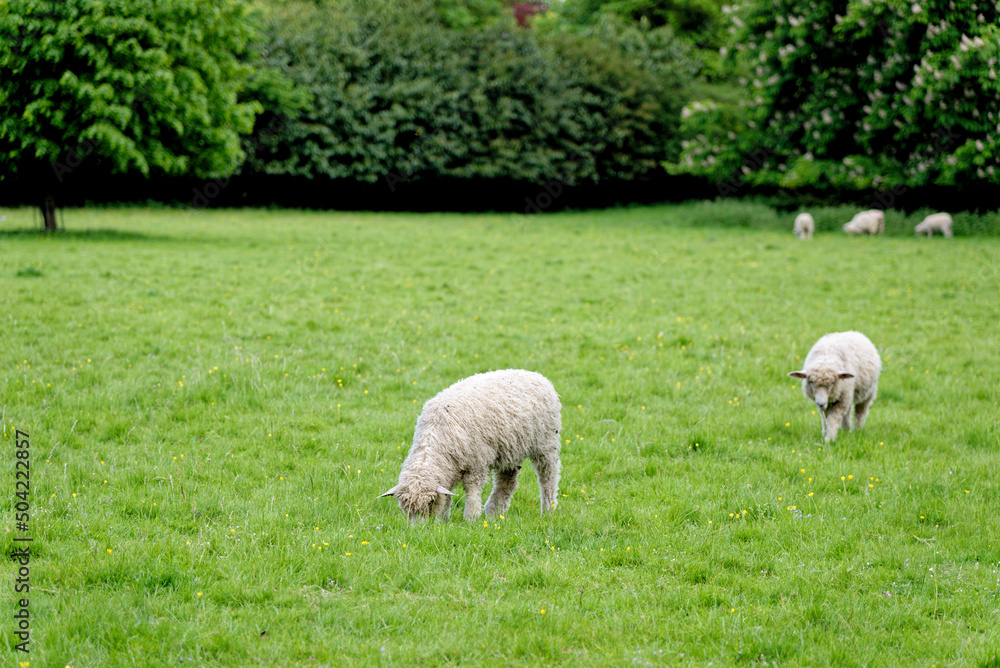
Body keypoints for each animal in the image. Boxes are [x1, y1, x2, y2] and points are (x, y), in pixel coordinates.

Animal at [378, 369, 562, 524]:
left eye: (431, 502)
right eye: (405, 507)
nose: (418, 529)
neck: (435, 435)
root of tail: (536, 375)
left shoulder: (476, 463)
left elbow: (472, 489)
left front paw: (471, 517)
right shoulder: (450, 469)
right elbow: (448, 494)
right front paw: (443, 521)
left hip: (546, 443)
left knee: (548, 476)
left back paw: (548, 508)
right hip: (510, 449)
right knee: (507, 482)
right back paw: (494, 513)